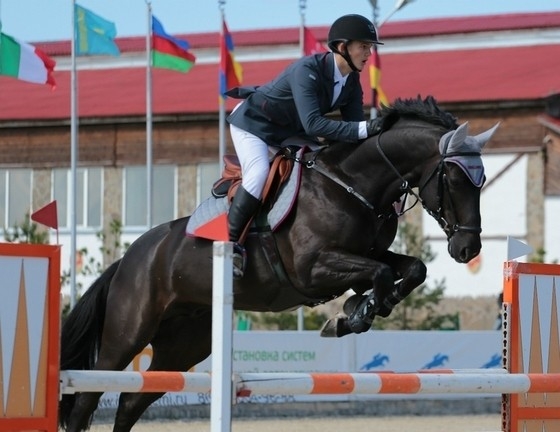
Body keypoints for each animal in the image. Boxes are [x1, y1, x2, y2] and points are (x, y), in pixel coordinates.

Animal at [60, 96, 498, 430]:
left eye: (482, 182)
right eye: (455, 180)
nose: (467, 249)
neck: (353, 183)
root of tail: (130, 257)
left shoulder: (367, 253)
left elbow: (409, 269)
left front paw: (364, 308)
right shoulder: (313, 268)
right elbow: (382, 272)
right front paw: (353, 315)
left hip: (184, 343)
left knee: (132, 403)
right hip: (127, 333)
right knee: (88, 396)